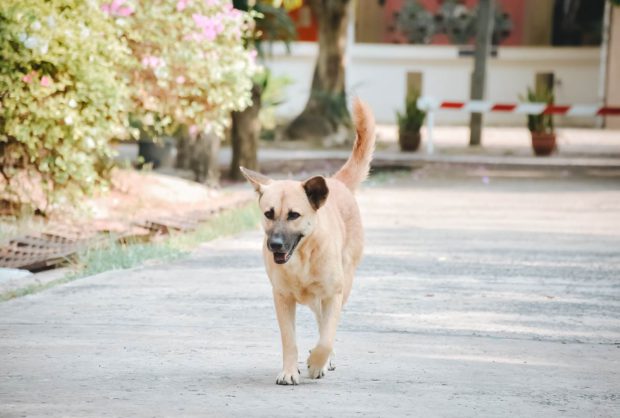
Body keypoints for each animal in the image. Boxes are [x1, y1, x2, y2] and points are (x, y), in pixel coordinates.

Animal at [241, 99, 378, 386]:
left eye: (294, 215)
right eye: (268, 214)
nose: (275, 245)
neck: (302, 258)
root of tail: (335, 182)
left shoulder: (333, 293)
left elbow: (326, 338)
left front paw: (317, 363)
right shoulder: (282, 298)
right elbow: (289, 340)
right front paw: (290, 371)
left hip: (344, 284)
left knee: (326, 326)